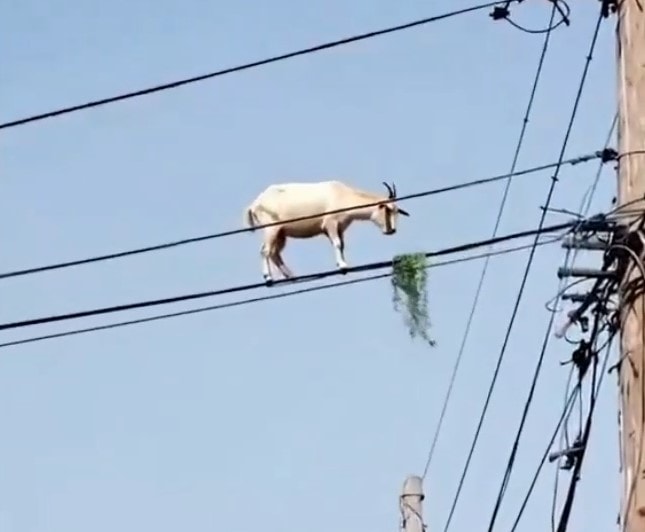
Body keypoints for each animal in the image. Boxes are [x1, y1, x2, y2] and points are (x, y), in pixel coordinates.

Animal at [243, 180, 410, 282]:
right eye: (387, 210)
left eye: (396, 212)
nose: (391, 230)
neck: (344, 195)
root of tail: (254, 204)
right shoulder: (330, 223)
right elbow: (337, 244)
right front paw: (342, 266)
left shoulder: (339, 227)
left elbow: (341, 245)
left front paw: (344, 265)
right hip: (271, 227)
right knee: (265, 251)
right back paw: (268, 277)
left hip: (280, 233)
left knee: (273, 252)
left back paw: (290, 276)